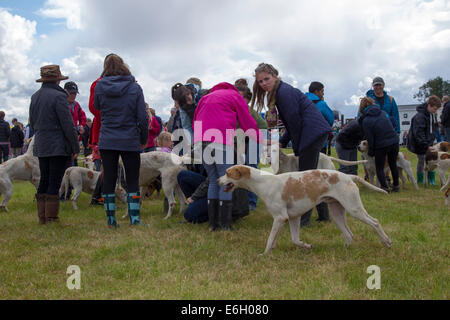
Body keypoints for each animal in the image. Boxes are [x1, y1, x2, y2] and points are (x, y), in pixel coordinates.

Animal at [217, 166, 390, 254]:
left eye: (227, 173)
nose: (217, 180)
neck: (263, 182)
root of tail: (348, 176)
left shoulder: (280, 218)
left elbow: (270, 239)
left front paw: (264, 255)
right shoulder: (293, 218)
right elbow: (294, 239)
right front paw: (307, 246)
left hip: (354, 209)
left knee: (375, 222)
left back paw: (387, 242)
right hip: (337, 212)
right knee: (349, 234)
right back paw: (344, 250)